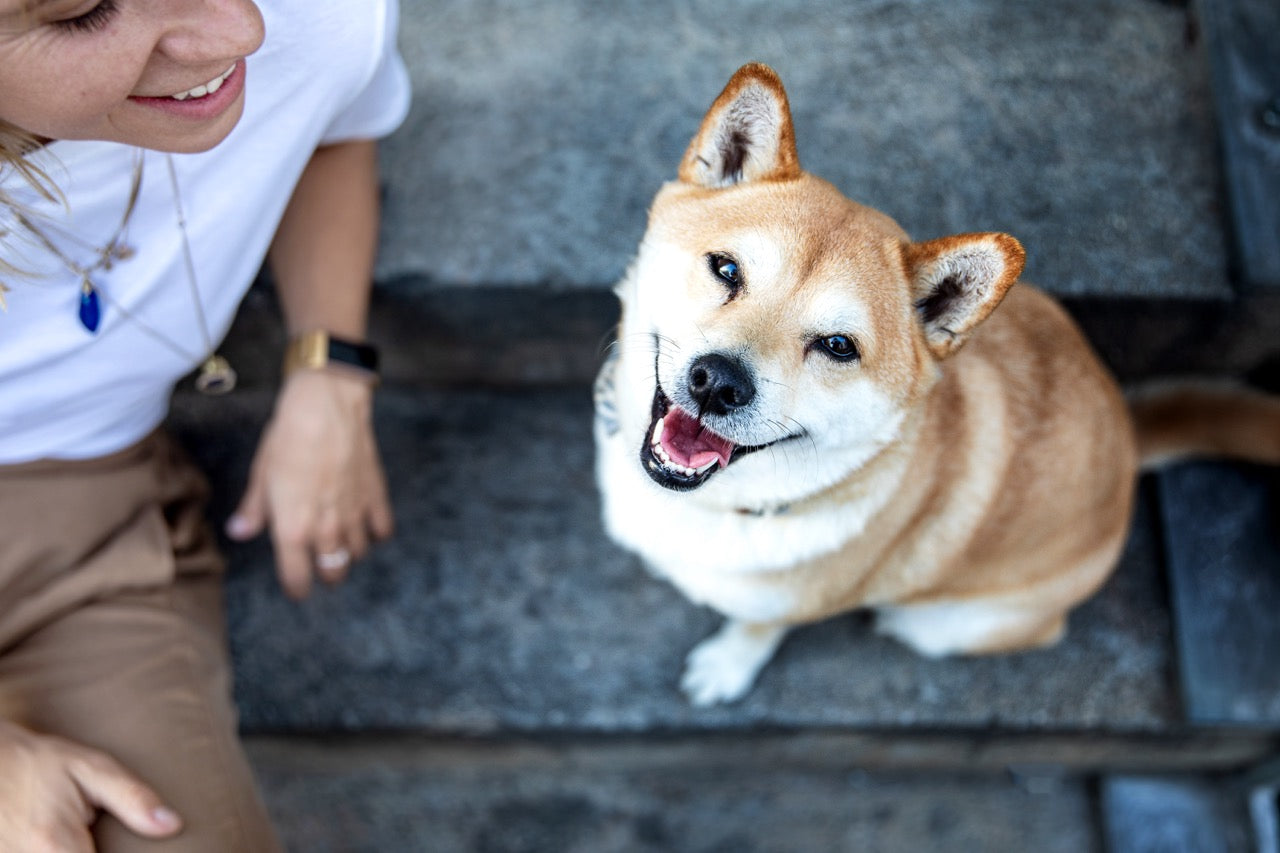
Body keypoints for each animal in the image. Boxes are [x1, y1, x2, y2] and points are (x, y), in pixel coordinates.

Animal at [591, 63, 1280, 701]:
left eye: (838, 346)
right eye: (727, 269)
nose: (718, 383)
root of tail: (1129, 439)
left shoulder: (790, 605)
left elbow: (758, 627)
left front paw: (728, 665)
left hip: (951, 620)